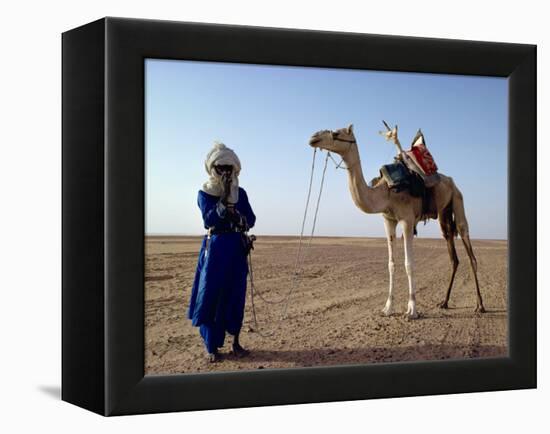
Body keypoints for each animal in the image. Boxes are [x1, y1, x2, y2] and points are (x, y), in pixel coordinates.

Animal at [310, 124, 488, 318]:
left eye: (336, 133)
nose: (313, 137)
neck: (386, 192)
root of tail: (451, 181)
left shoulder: (407, 220)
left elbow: (408, 264)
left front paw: (412, 310)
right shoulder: (388, 220)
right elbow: (391, 264)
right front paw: (387, 308)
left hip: (457, 198)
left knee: (469, 249)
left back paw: (480, 305)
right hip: (444, 213)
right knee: (452, 253)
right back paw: (445, 302)